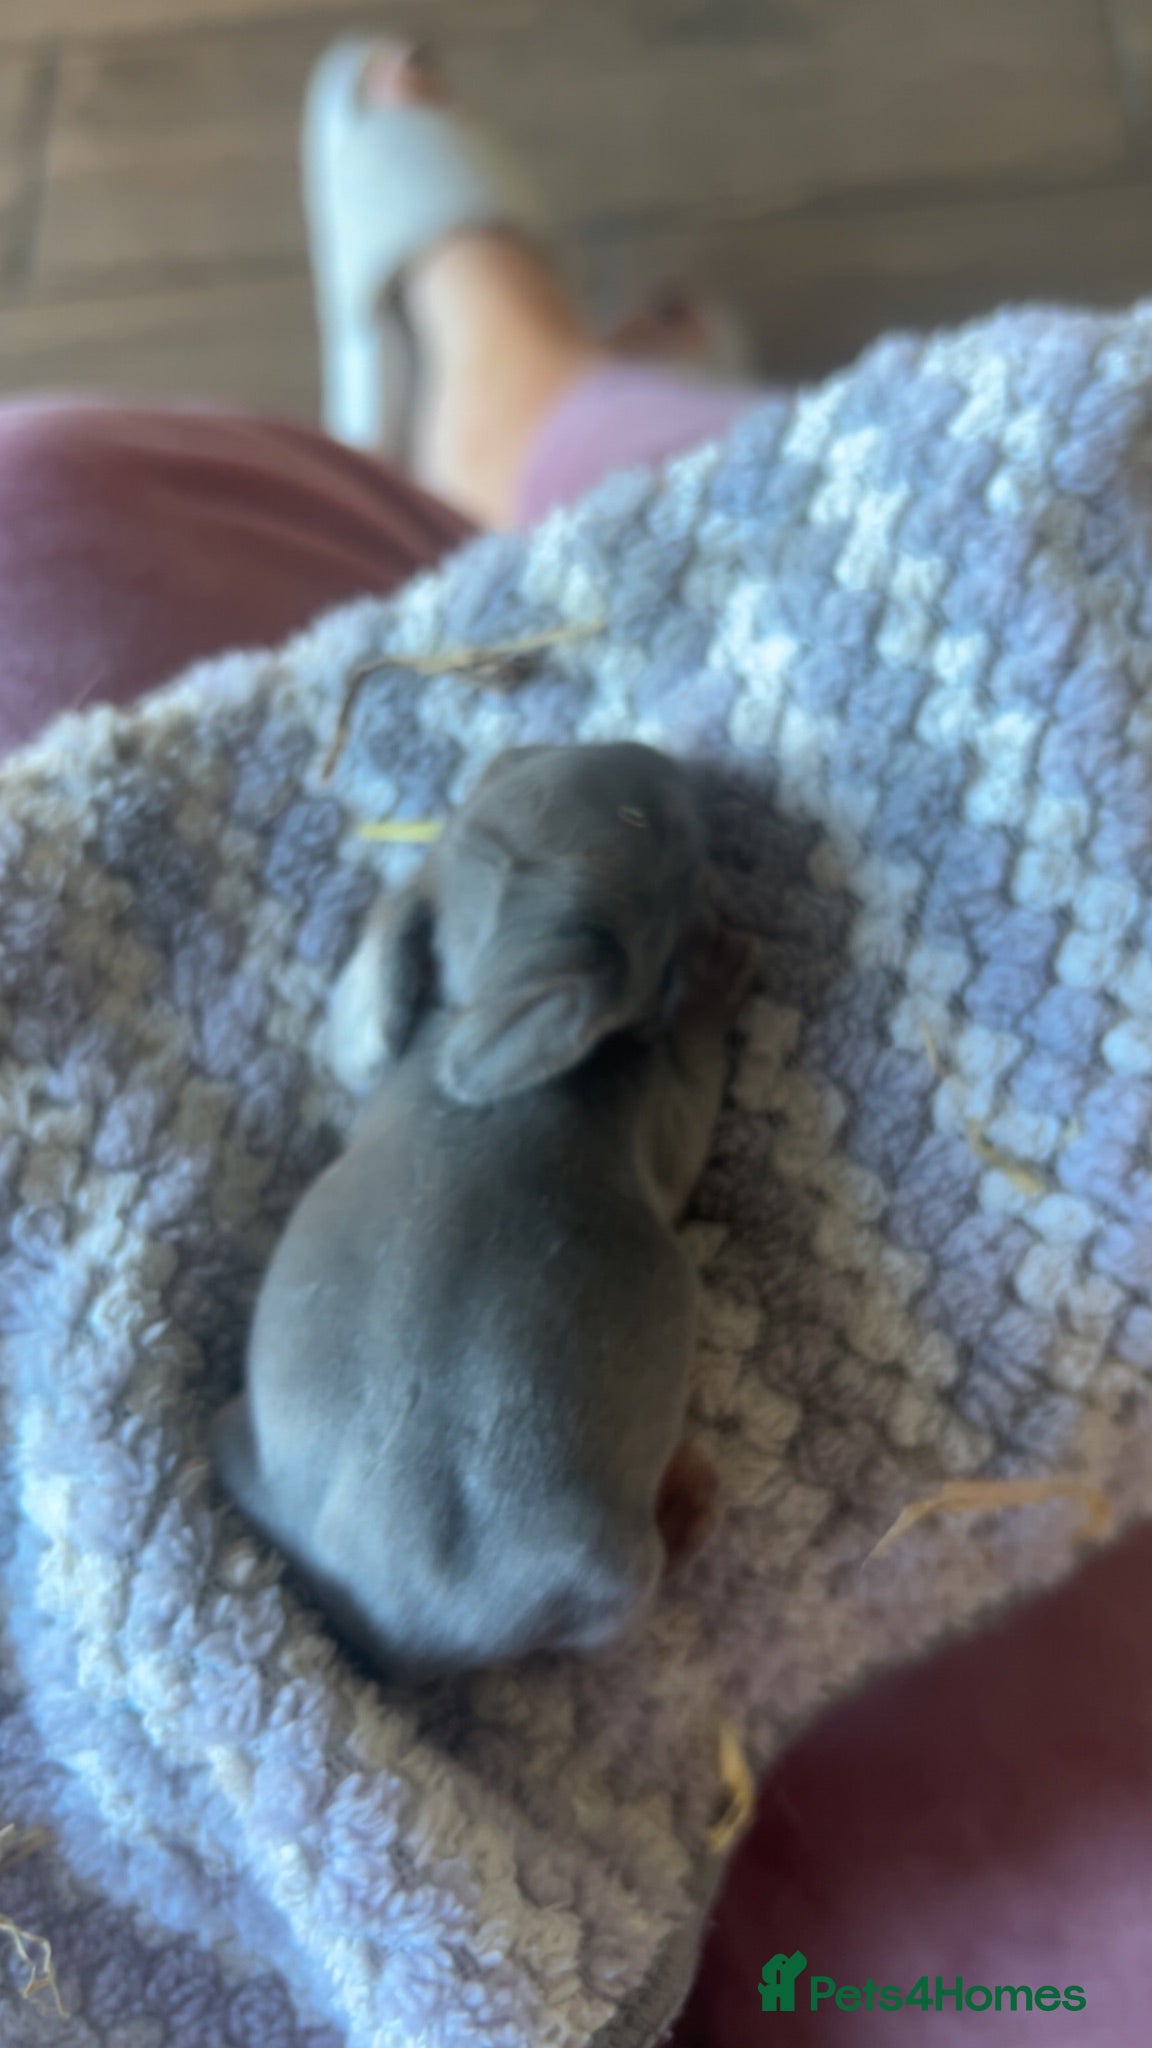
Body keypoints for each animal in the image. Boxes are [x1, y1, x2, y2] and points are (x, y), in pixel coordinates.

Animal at [212, 742, 755, 1681]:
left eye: (520, 761)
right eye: (666, 834)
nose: (678, 760)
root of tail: (405, 1627)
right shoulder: (657, 1111)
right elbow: (693, 1092)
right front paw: (715, 974)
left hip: (248, 1456)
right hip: (614, 1578)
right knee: (616, 1627)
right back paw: (688, 1508)